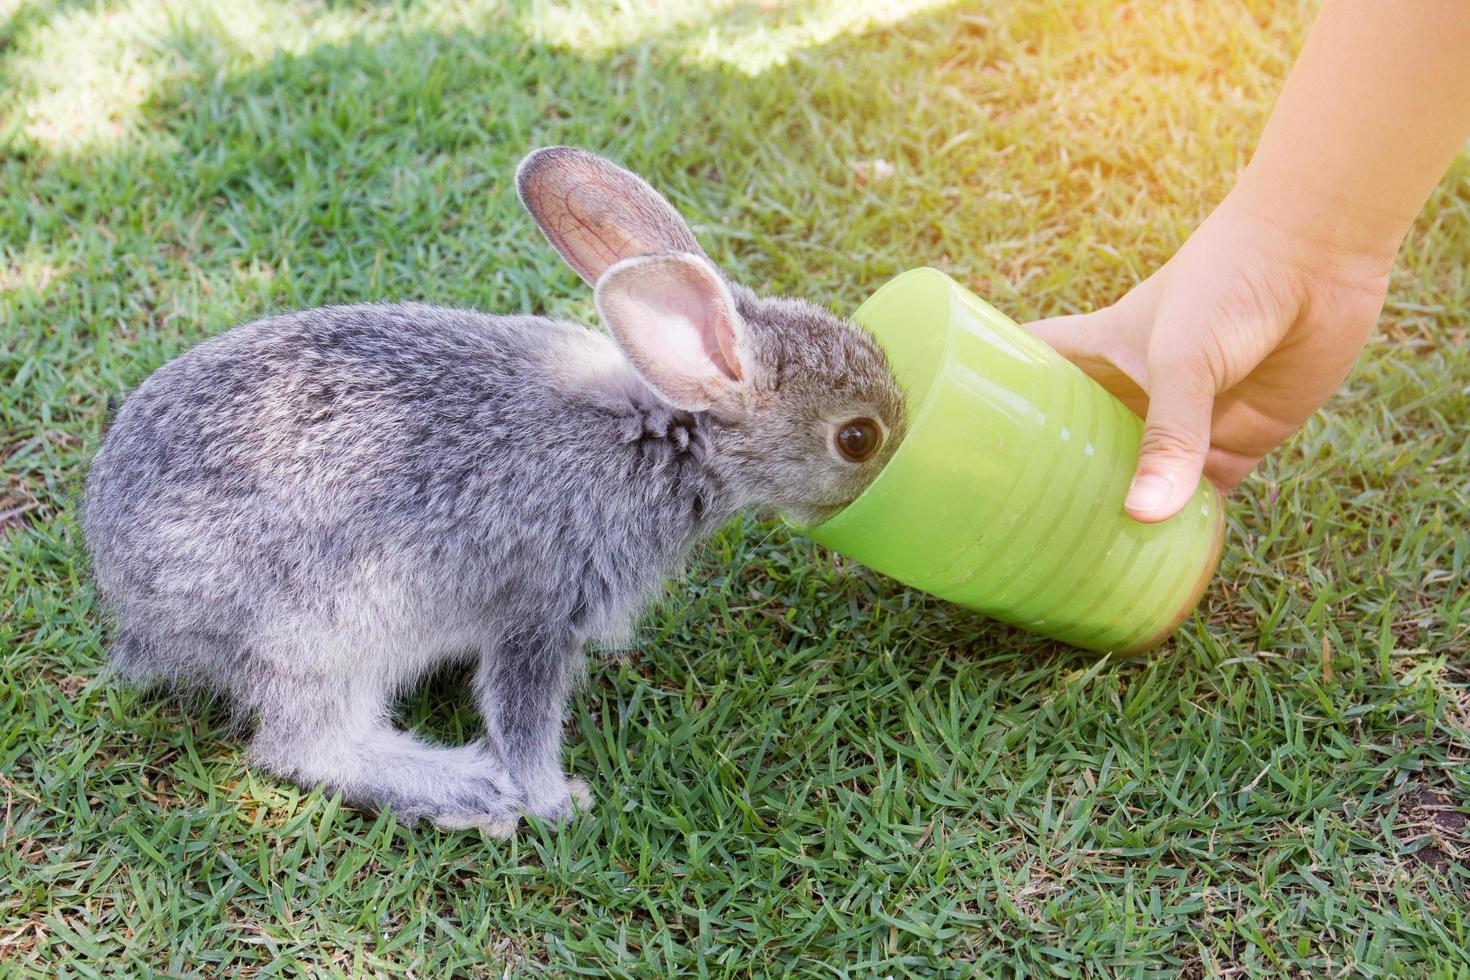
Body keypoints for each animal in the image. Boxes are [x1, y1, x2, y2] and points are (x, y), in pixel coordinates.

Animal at [85, 147, 905, 834]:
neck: (668, 432)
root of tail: (131, 593)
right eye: (857, 438)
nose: (896, 458)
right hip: (324, 632)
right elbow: (521, 715)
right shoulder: (541, 606)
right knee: (303, 746)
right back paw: (465, 789)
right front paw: (558, 801)